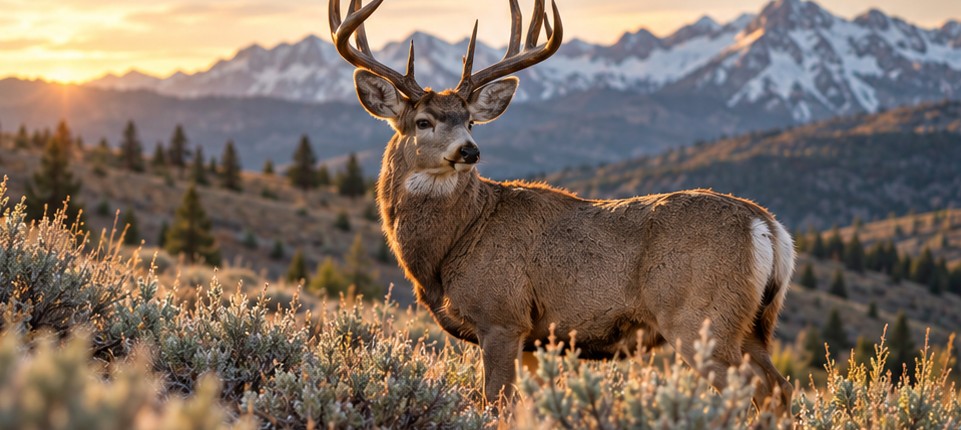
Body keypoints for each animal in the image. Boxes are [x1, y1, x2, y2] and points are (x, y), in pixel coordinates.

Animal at [329, 0, 796, 415]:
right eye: (423, 122)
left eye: (470, 121)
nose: (469, 150)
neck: (453, 246)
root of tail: (767, 226)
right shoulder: (534, 339)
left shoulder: (502, 316)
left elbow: (496, 403)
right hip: (754, 324)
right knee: (779, 387)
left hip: (700, 317)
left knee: (753, 389)